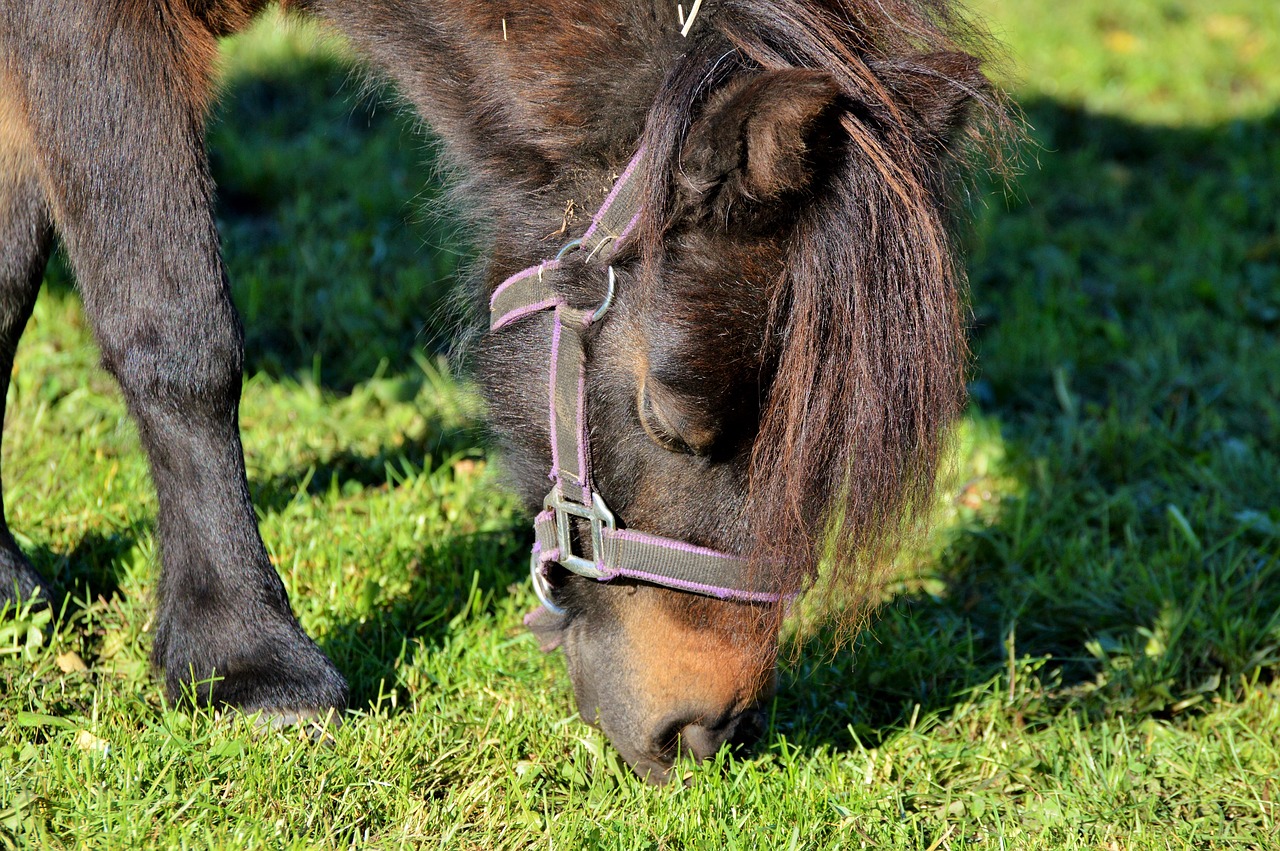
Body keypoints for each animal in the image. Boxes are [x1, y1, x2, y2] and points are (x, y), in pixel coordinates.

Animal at [0, 0, 998, 783]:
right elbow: (180, 335)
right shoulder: (87, 28)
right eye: (672, 414)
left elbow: (6, 291)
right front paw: (250, 665)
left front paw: (9, 580)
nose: (708, 731)